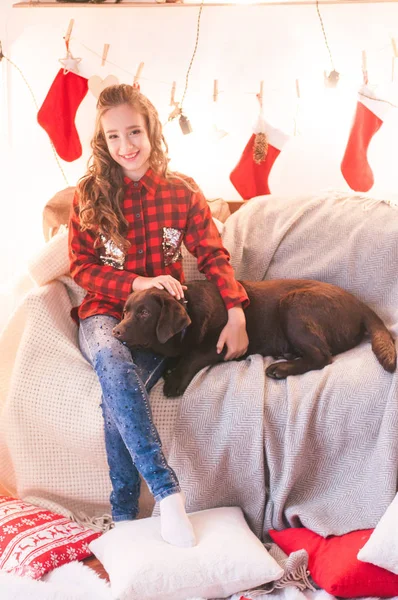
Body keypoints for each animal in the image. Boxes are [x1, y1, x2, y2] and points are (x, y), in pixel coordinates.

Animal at [111, 280, 394, 398]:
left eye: (144, 313)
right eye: (125, 312)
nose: (116, 332)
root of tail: (360, 305)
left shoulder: (221, 342)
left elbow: (193, 355)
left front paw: (175, 380)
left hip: (293, 303)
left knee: (322, 356)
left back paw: (281, 368)